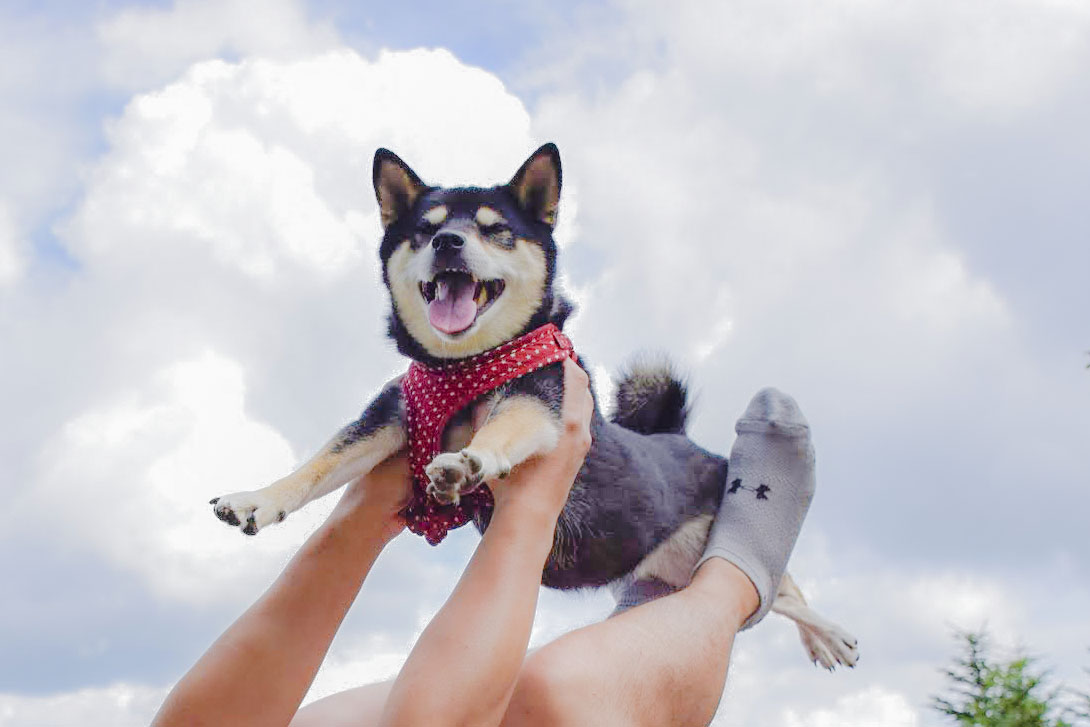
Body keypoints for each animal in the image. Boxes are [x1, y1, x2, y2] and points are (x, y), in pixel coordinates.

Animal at [210, 143, 858, 671]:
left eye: (496, 230)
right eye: (424, 230)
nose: (448, 241)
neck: (463, 364)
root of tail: (680, 439)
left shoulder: (538, 402)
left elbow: (500, 429)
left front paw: (467, 461)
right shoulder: (389, 415)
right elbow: (318, 465)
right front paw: (259, 499)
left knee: (782, 592)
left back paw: (830, 634)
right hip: (668, 570)